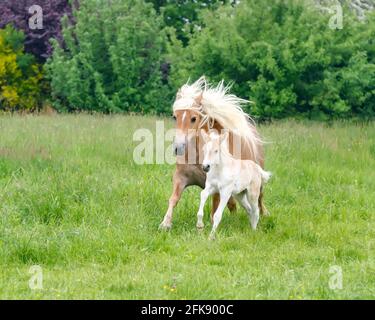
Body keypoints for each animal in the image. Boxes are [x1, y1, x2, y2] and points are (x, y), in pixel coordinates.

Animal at [159, 76, 268, 231]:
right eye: (175, 117)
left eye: (193, 118)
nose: (178, 147)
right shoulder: (181, 177)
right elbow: (173, 199)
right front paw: (165, 223)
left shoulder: (216, 185)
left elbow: (214, 206)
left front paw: (208, 226)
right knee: (233, 204)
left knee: (259, 199)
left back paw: (264, 216)